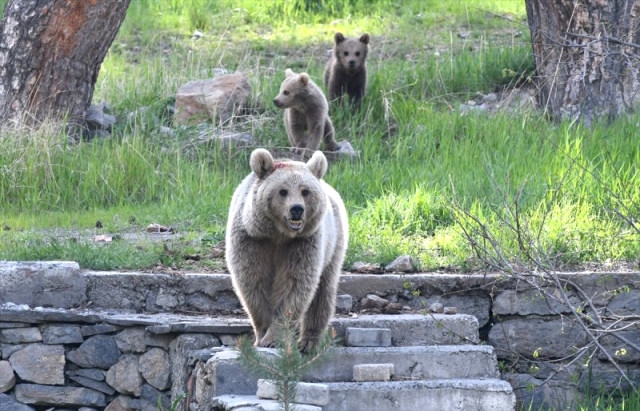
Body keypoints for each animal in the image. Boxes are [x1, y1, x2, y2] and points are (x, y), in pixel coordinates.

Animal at [224, 150, 348, 352]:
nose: (296, 209)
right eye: (283, 191)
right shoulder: (252, 240)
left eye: (305, 191)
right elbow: (253, 282)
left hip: (334, 243)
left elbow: (294, 284)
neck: (278, 234)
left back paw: (309, 341)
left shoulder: (303, 243)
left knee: (323, 290)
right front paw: (262, 334)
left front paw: (273, 338)